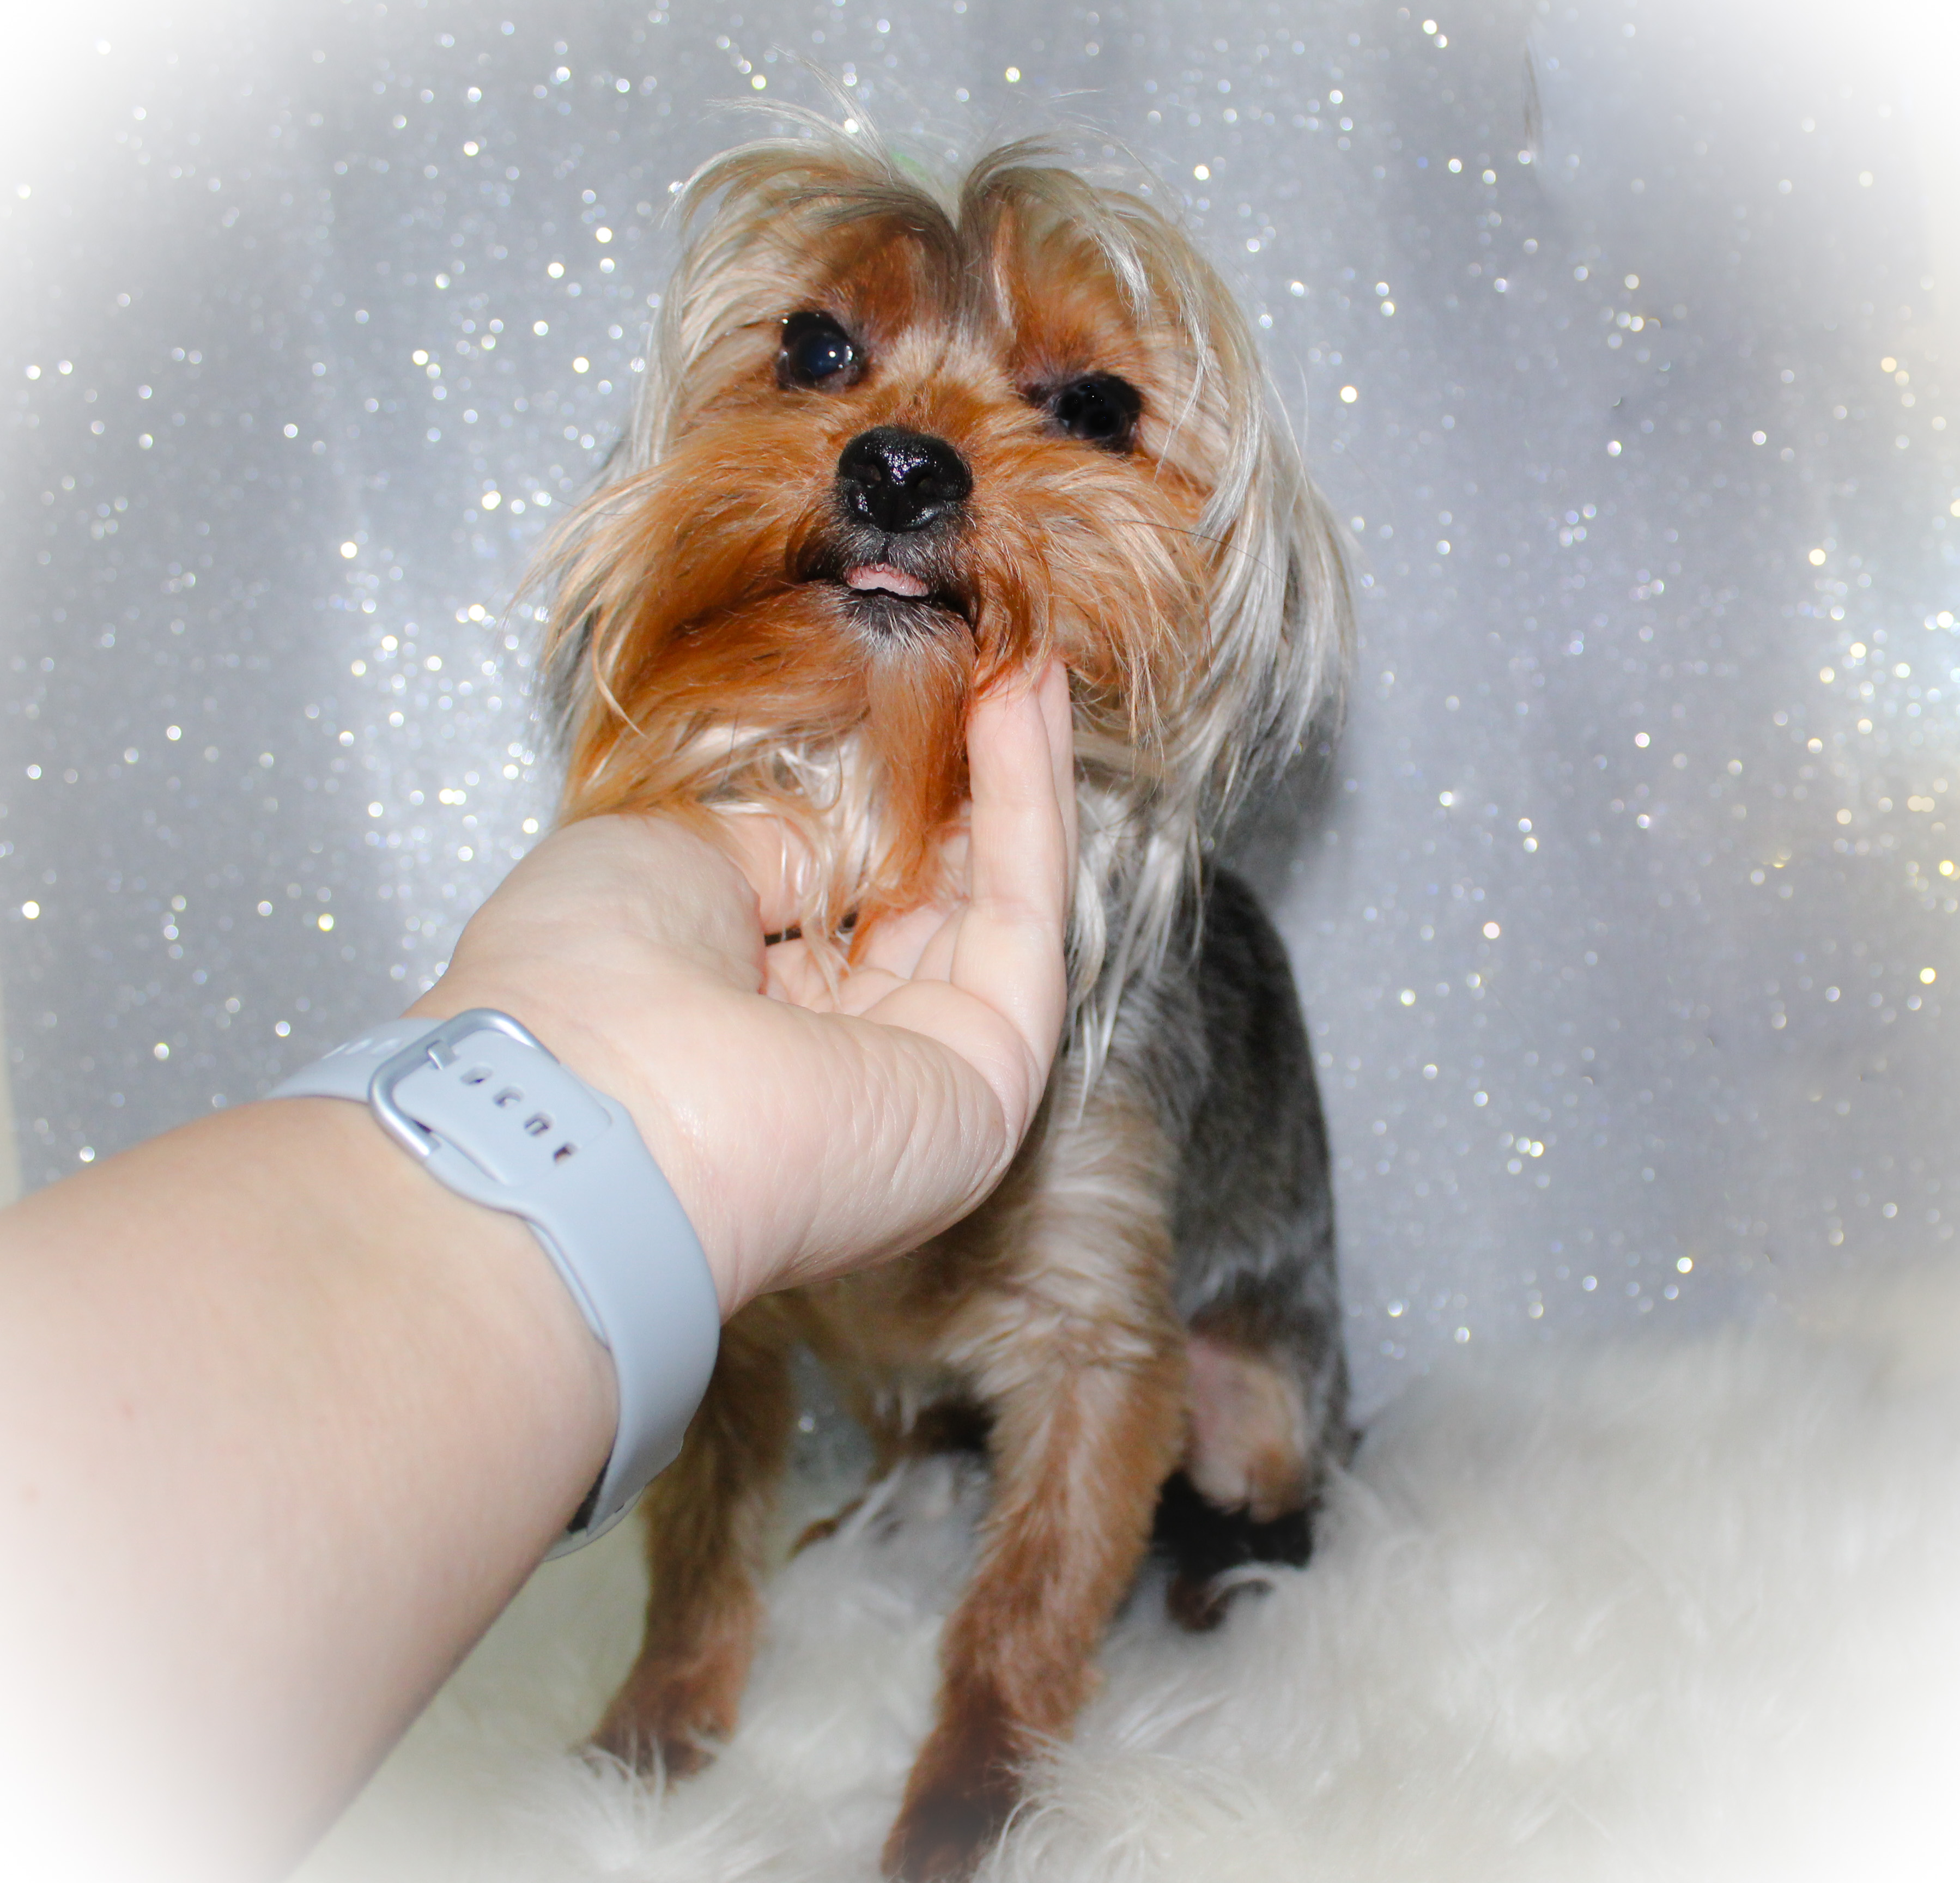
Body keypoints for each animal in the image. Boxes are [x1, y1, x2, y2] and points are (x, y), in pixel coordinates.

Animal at [535, 117, 1353, 1882]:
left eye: (1099, 407)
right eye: (813, 348)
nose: (899, 467)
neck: (887, 789)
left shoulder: (1100, 1342)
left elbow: (1024, 1614)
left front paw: (968, 1813)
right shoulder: (740, 1319)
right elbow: (697, 1552)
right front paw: (645, 1746)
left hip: (1258, 1388)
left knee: (1276, 1485)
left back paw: (1226, 1583)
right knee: (917, 1436)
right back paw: (871, 1512)